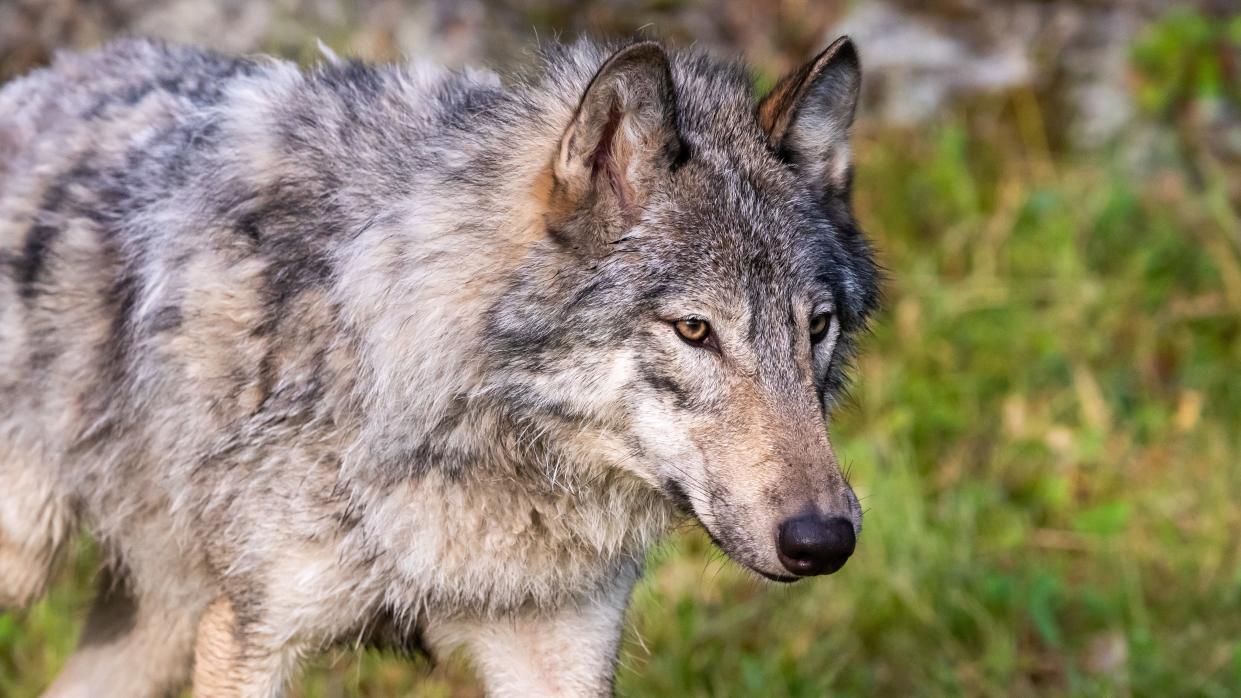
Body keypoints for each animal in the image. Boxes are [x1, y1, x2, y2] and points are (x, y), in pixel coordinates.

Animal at [0, 33, 878, 695]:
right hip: (37, 563)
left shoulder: (562, 647)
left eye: (817, 327)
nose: (825, 539)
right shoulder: (250, 632)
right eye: (694, 330)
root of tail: (44, 77)